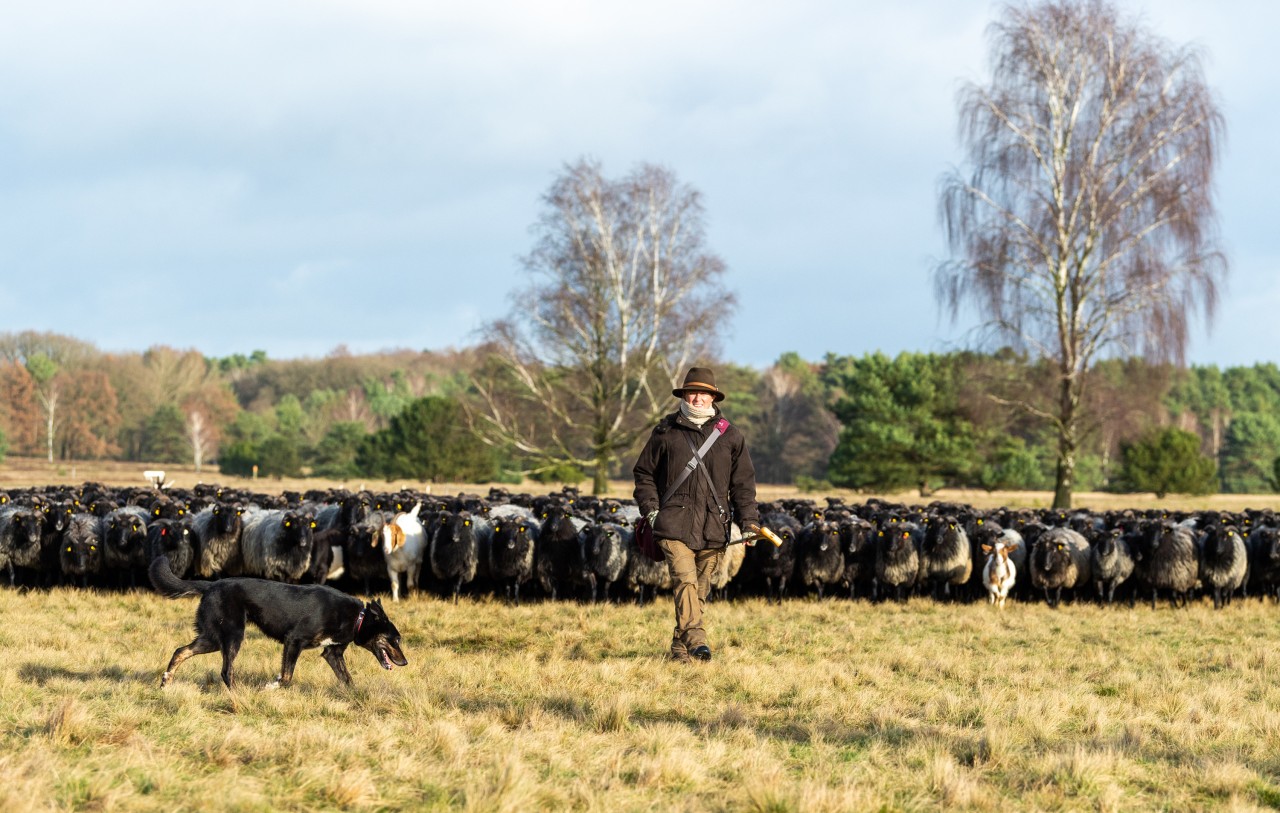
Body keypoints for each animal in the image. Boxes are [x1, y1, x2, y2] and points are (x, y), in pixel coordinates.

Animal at [149, 553, 409, 686]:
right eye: (395, 639)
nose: (405, 663)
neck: (358, 618)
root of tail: (211, 585)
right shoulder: (293, 641)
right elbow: (286, 677)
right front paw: (271, 686)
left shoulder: (332, 653)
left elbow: (348, 680)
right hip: (233, 635)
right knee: (226, 671)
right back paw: (238, 696)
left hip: (213, 638)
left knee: (181, 651)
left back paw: (166, 681)